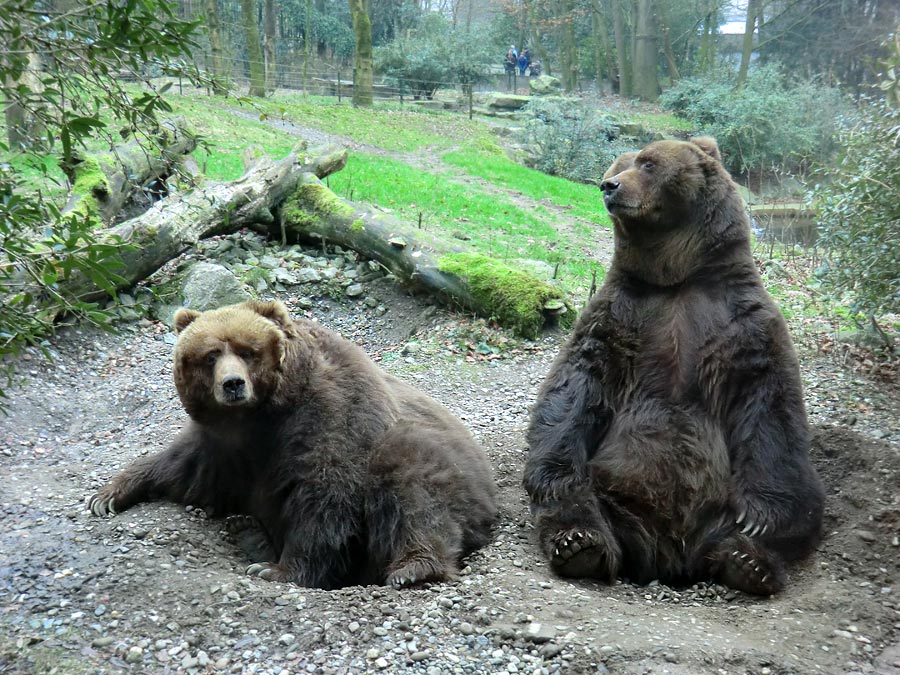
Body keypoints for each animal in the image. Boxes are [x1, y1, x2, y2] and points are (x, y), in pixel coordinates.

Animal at [89, 302, 500, 592]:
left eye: (248, 350)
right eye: (210, 355)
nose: (233, 384)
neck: (262, 418)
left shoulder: (330, 416)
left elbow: (324, 495)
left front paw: (276, 569)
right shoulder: (221, 445)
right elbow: (180, 466)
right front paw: (108, 494)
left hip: (431, 459)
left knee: (413, 488)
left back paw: (413, 568)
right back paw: (249, 532)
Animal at [524, 139, 828, 596]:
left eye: (648, 163)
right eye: (616, 166)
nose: (609, 186)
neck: (677, 278)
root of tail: (669, 554)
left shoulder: (742, 318)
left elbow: (768, 399)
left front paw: (761, 517)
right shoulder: (621, 313)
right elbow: (578, 384)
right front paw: (553, 482)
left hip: (726, 502)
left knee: (784, 519)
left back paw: (747, 561)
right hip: (610, 487)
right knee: (578, 503)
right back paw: (580, 544)